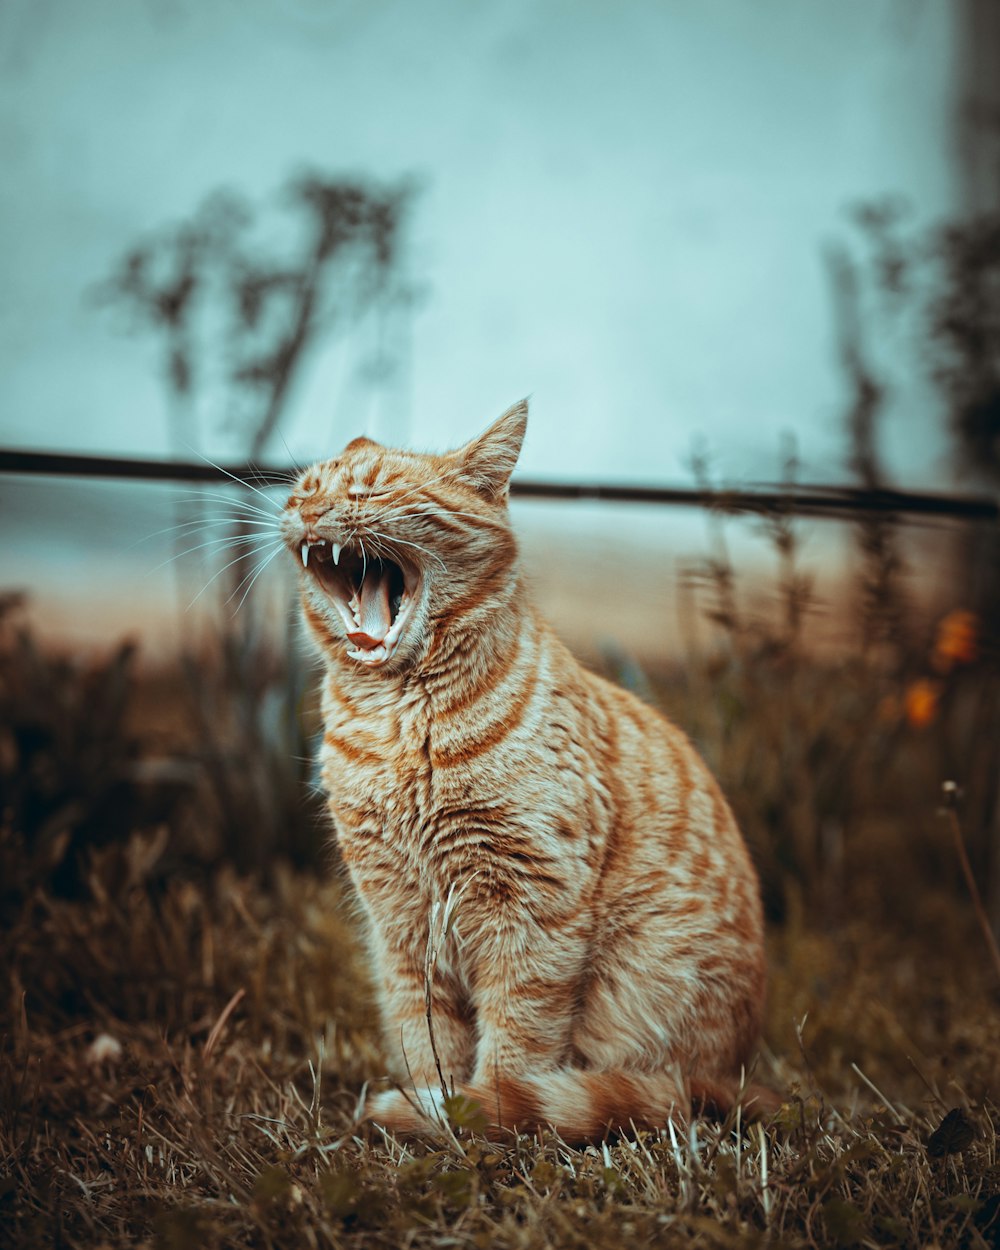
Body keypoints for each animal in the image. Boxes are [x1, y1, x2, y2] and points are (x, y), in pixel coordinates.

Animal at [281, 400, 775, 1145]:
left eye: (370, 488)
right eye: (303, 490)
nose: (307, 511)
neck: (399, 724)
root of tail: (729, 1077)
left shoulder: (531, 906)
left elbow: (516, 1047)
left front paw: (479, 1119)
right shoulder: (399, 919)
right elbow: (425, 1034)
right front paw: (434, 1109)